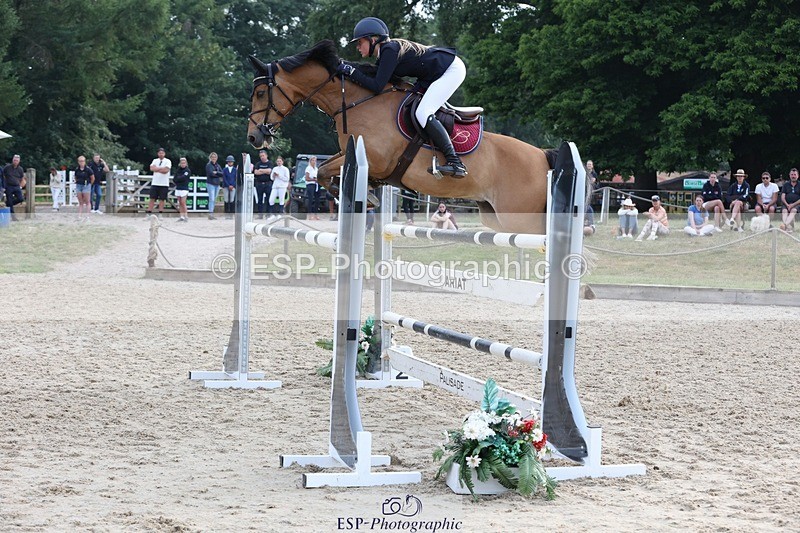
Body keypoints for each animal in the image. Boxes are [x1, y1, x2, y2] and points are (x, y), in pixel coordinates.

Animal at [247, 40, 558, 234]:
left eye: (261, 93)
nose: (253, 138)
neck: (357, 102)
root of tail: (542, 156)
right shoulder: (351, 155)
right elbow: (322, 169)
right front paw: (363, 194)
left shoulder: (376, 159)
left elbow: (324, 170)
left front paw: (366, 198)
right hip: (494, 215)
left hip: (518, 216)